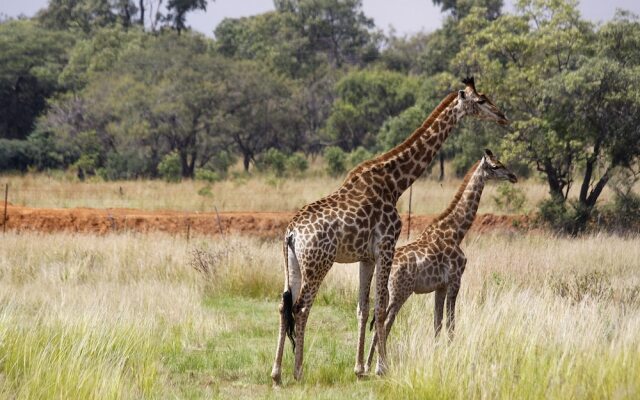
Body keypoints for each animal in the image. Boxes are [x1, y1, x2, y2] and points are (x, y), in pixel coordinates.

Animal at [364, 150, 520, 372]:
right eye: (495, 166)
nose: (513, 176)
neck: (457, 232)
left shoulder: (440, 287)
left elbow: (437, 323)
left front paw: (437, 354)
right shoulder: (455, 281)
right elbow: (450, 322)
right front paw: (450, 353)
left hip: (385, 291)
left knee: (379, 321)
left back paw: (367, 366)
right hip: (400, 292)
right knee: (385, 323)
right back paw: (380, 367)